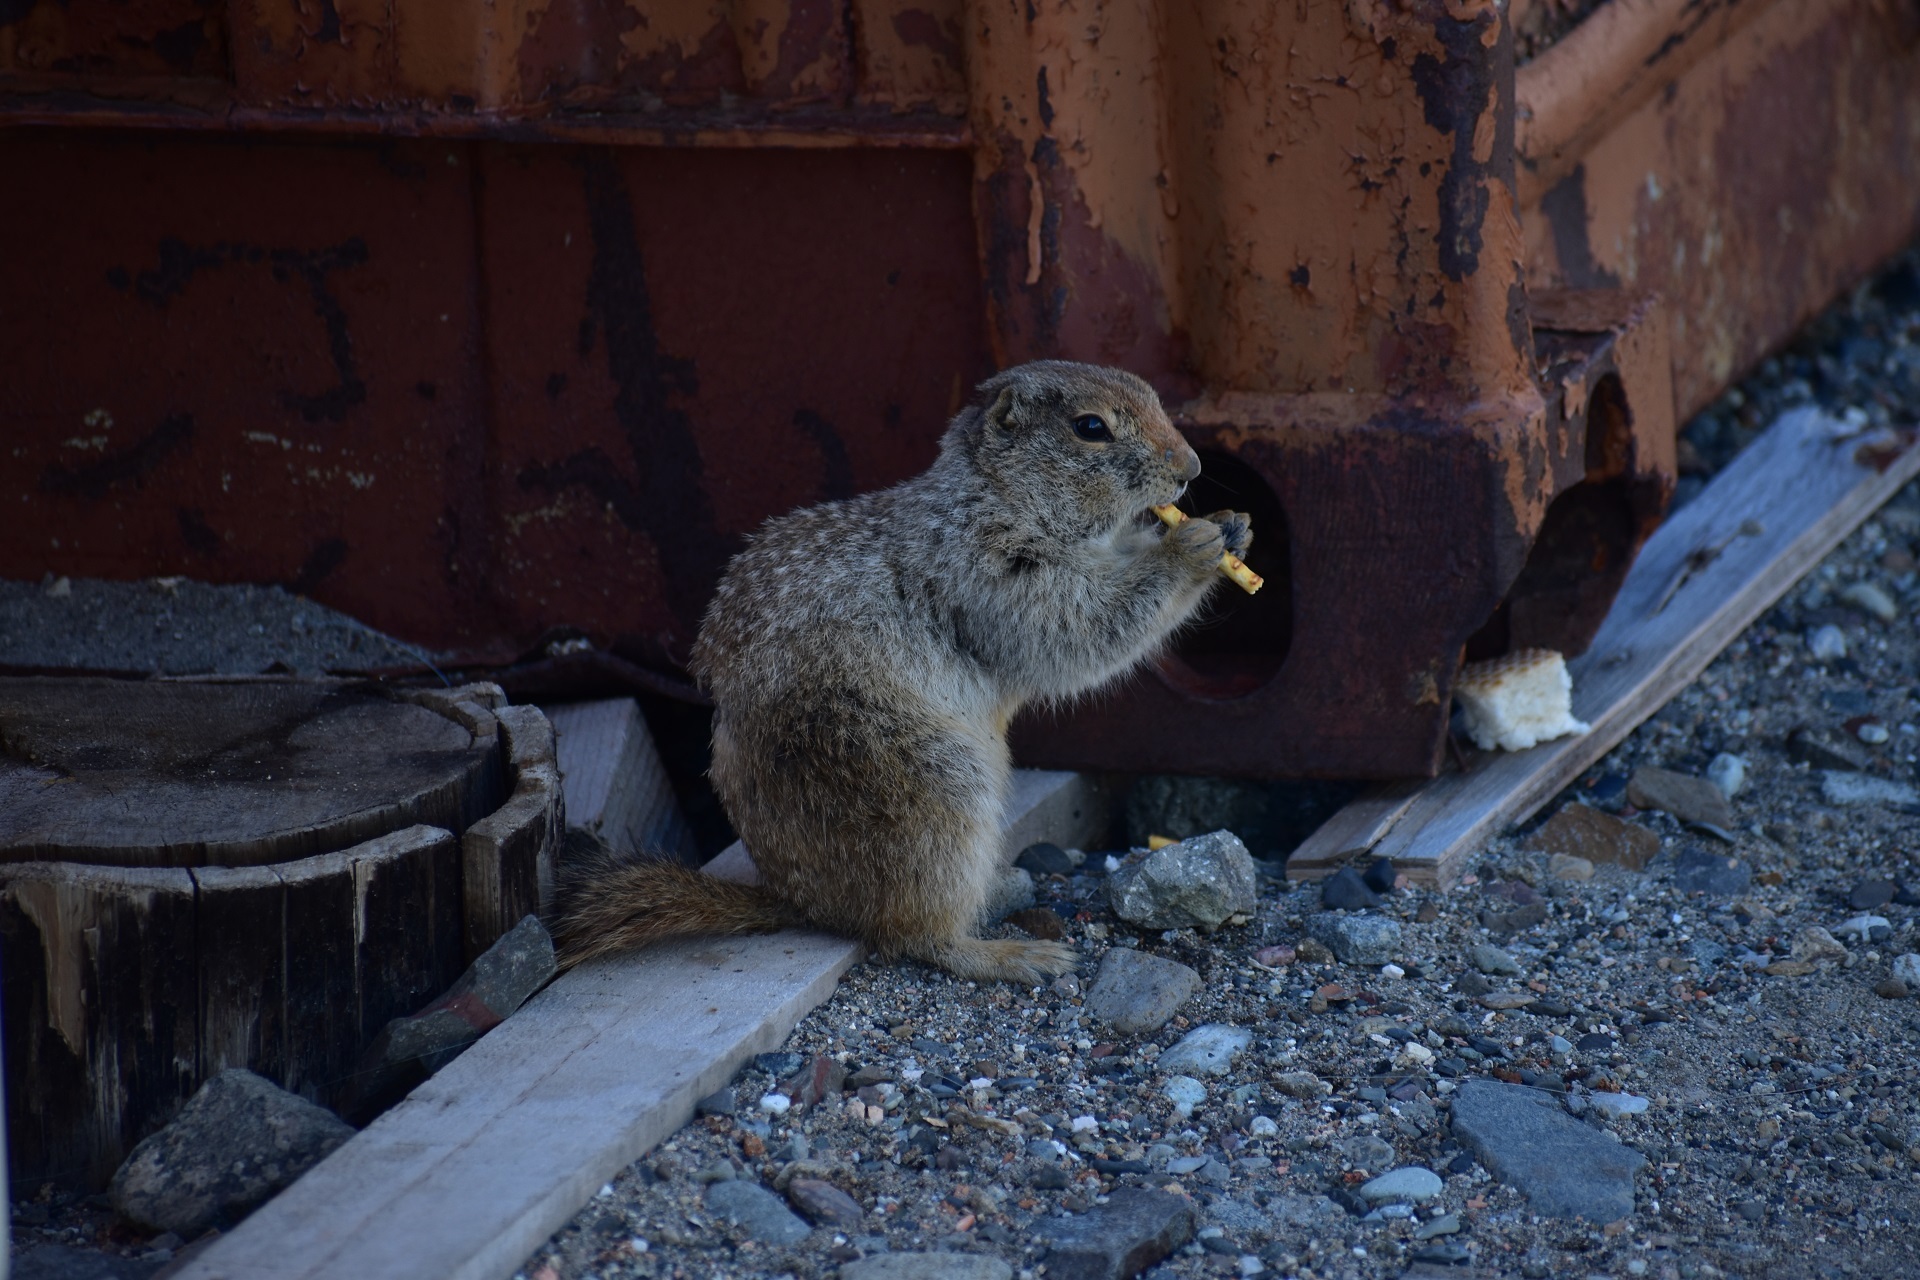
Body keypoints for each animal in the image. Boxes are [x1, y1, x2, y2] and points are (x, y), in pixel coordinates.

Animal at [549, 360, 1251, 982]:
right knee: (913, 934)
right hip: (926, 787)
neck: (995, 497)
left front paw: (1232, 525)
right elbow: (1073, 626)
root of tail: (804, 902)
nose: (1191, 468)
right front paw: (1188, 547)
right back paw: (1013, 955)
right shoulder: (994, 566)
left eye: (1153, 396)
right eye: (1091, 428)